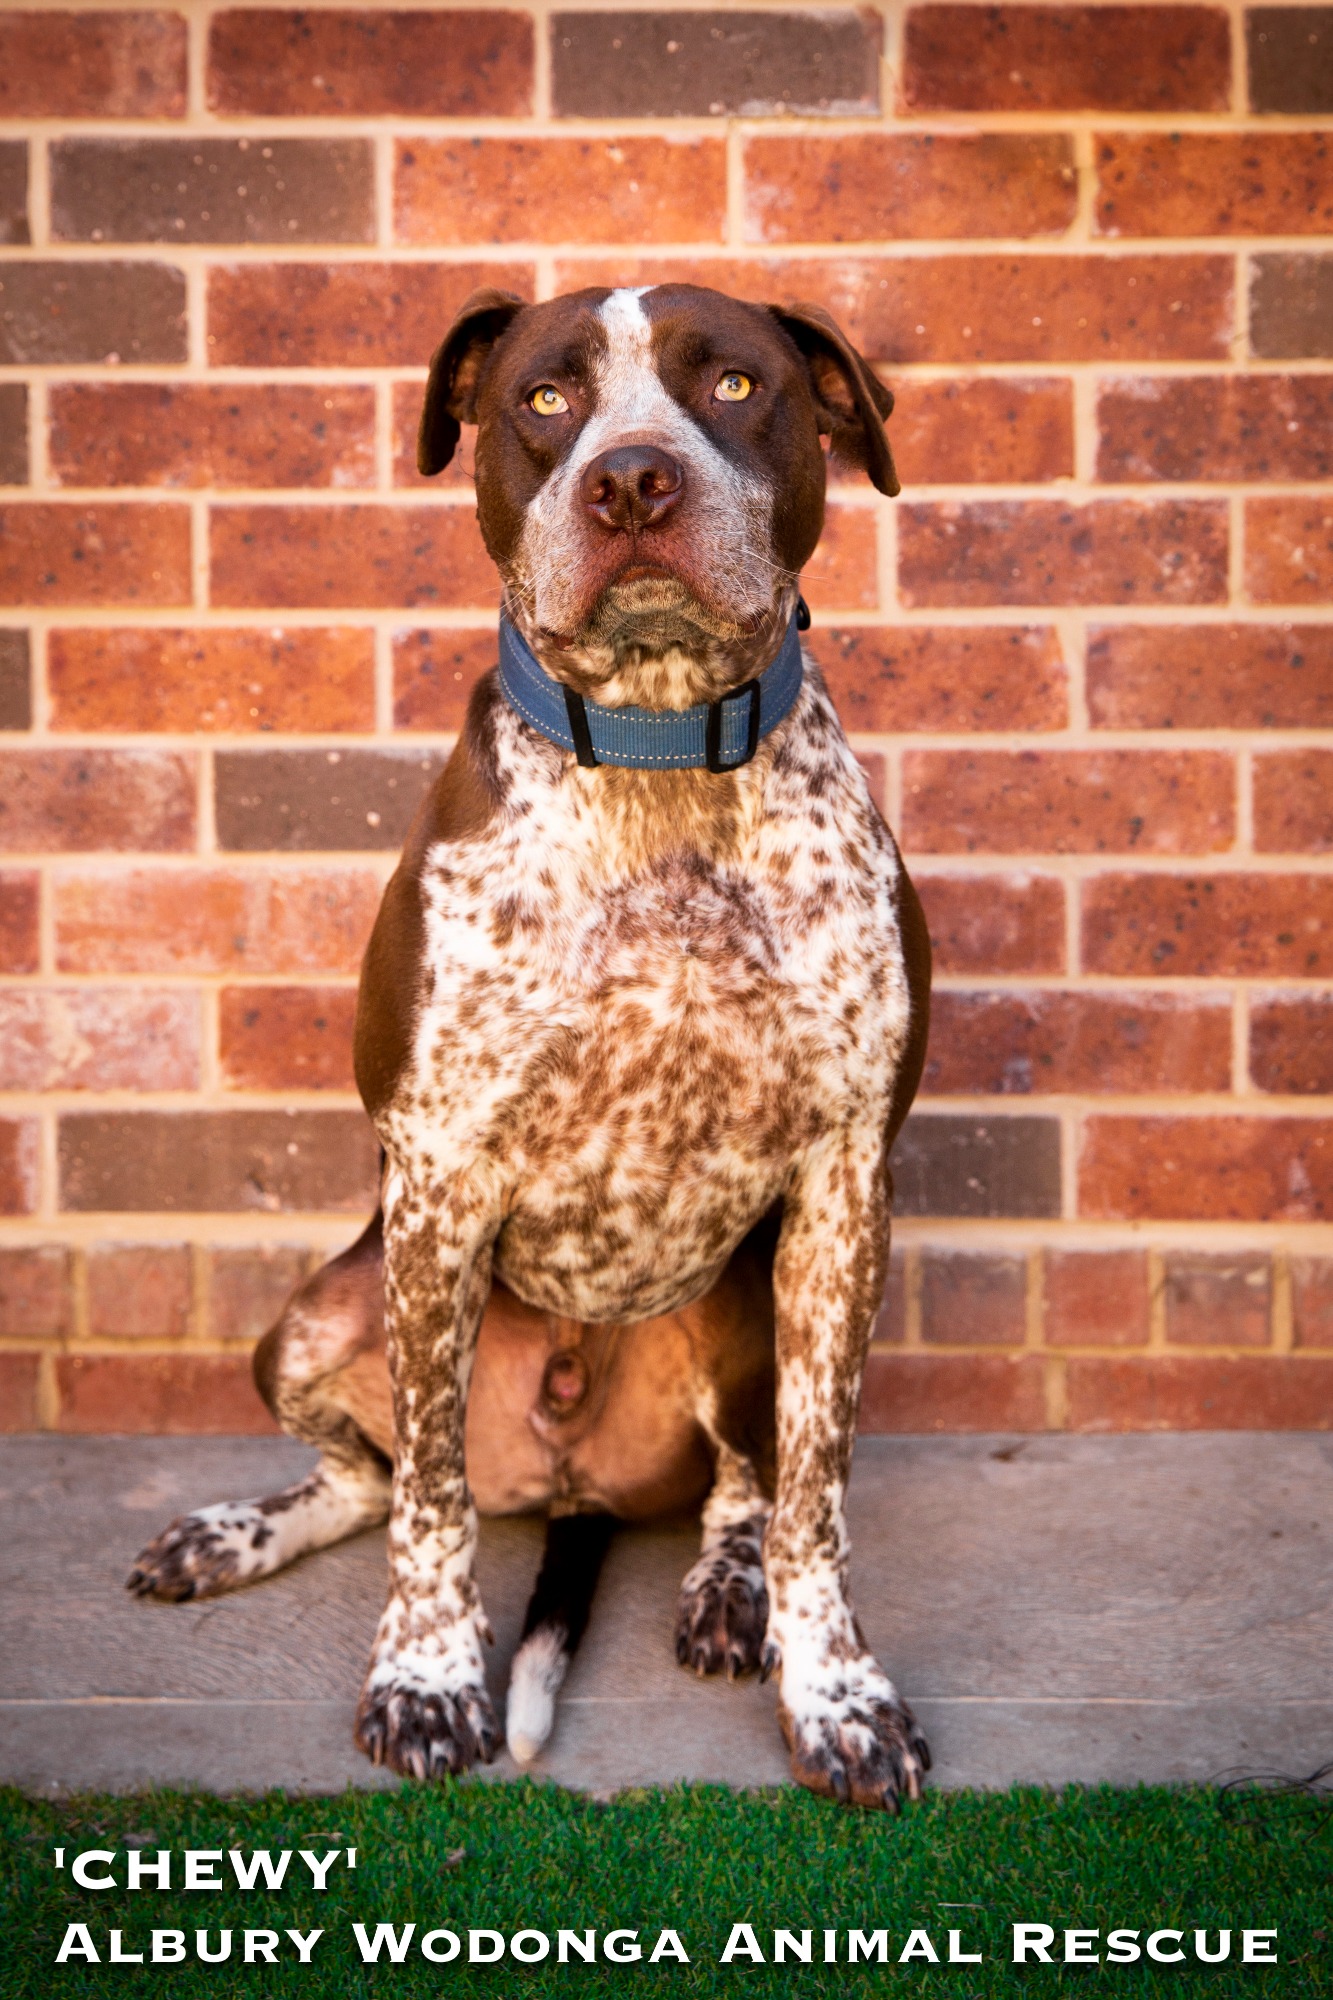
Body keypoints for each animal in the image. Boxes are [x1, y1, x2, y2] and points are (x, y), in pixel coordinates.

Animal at [129, 283, 933, 1811]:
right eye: (543, 402)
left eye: (735, 384)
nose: (631, 480)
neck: (657, 752)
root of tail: (570, 1485)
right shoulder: (438, 1184)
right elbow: (430, 1497)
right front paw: (426, 1677)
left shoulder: (846, 1186)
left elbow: (819, 1498)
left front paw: (836, 1692)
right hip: (321, 1313)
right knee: (367, 1476)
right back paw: (232, 1533)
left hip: (744, 1314)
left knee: (744, 1482)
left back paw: (727, 1589)